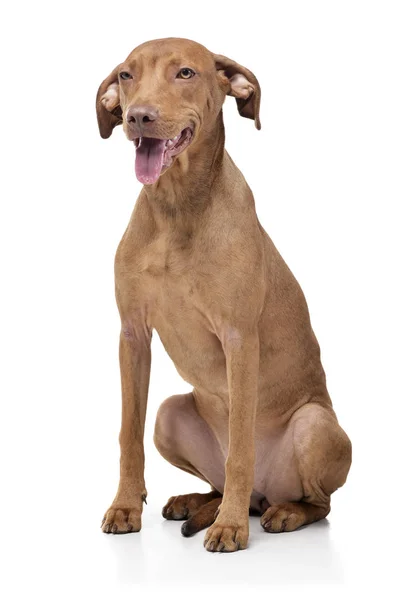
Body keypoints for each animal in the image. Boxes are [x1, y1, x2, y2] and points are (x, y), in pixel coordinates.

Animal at [96, 37, 352, 552]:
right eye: (127, 75)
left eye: (186, 73)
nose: (138, 116)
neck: (176, 209)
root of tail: (263, 494)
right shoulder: (132, 336)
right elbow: (128, 435)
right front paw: (126, 506)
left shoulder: (239, 340)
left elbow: (240, 449)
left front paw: (230, 527)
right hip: (170, 414)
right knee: (218, 479)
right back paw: (197, 502)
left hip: (314, 424)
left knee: (318, 504)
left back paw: (277, 513)